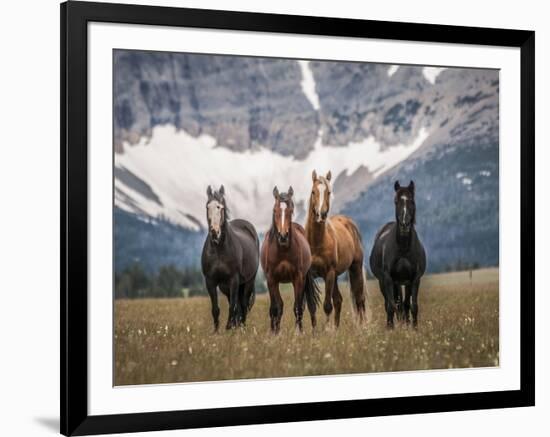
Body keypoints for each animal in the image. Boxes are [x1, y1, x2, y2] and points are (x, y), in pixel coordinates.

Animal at [203, 185, 260, 330]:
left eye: (220, 207)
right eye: (207, 207)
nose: (214, 232)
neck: (219, 250)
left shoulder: (234, 279)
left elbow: (233, 307)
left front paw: (229, 327)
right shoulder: (210, 281)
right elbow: (216, 309)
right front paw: (216, 330)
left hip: (248, 282)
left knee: (243, 304)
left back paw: (241, 326)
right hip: (226, 287)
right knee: (237, 304)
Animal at [260, 186, 322, 332]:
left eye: (291, 210)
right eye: (275, 210)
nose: (283, 236)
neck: (282, 250)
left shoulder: (298, 278)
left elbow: (298, 307)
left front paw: (299, 332)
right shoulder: (271, 279)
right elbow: (275, 308)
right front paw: (274, 333)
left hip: (305, 279)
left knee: (310, 305)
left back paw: (314, 331)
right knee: (278, 306)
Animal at [304, 170, 368, 328]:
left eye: (328, 192)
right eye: (313, 192)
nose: (321, 214)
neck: (316, 242)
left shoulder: (329, 273)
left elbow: (327, 305)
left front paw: (328, 330)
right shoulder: (308, 276)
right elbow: (311, 306)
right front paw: (315, 332)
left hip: (354, 268)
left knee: (359, 298)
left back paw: (363, 327)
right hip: (336, 276)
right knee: (339, 300)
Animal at [368, 180, 430, 328]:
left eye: (412, 201)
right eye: (396, 201)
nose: (404, 225)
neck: (403, 248)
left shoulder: (414, 279)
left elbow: (412, 305)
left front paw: (413, 327)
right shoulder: (388, 279)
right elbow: (391, 306)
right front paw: (391, 328)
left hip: (403, 282)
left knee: (403, 304)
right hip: (384, 282)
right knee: (390, 303)